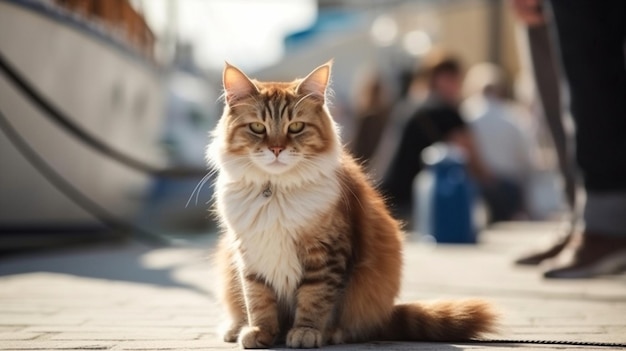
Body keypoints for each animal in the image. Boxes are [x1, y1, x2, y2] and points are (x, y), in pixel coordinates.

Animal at [207, 61, 494, 350]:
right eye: (257, 127)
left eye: (296, 127)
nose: (276, 149)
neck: (275, 190)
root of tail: (388, 314)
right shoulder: (250, 256)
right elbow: (258, 299)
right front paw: (260, 332)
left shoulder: (326, 255)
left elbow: (314, 298)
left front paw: (306, 331)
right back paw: (235, 328)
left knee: (357, 326)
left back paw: (333, 333)